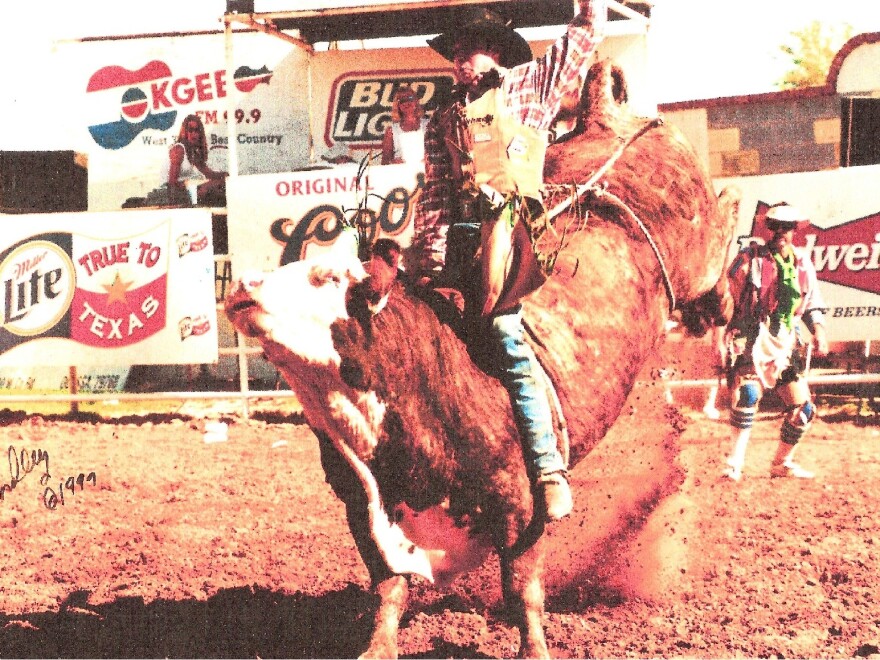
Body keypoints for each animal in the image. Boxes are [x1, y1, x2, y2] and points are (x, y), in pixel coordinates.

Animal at [225, 64, 736, 656]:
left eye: (326, 277)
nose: (243, 285)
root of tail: (606, 121)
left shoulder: (520, 504)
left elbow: (522, 589)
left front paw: (534, 647)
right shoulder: (368, 515)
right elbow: (390, 587)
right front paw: (379, 643)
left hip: (697, 251)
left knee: (723, 240)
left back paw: (726, 275)